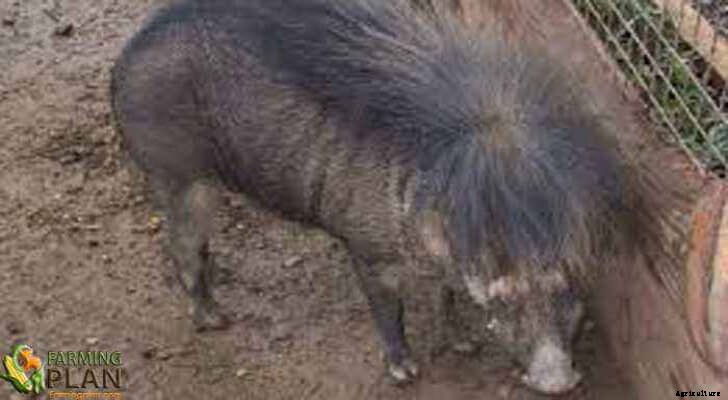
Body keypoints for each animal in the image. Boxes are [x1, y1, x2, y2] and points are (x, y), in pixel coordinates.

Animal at [110, 0, 664, 394]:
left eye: (565, 278)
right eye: (503, 290)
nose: (557, 380)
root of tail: (124, 61)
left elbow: (446, 297)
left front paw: (463, 345)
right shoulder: (366, 247)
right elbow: (387, 309)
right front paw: (406, 374)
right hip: (179, 178)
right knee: (183, 250)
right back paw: (214, 321)